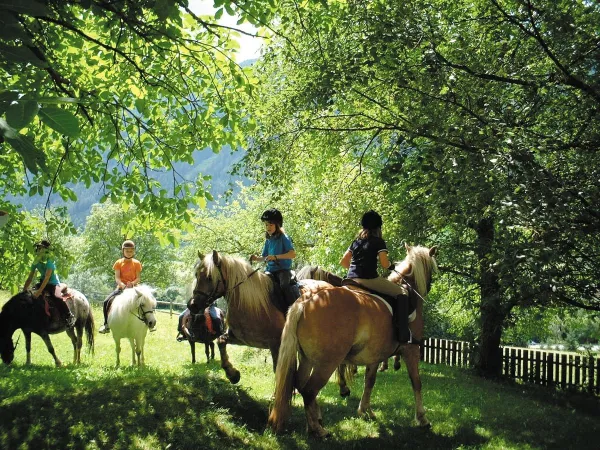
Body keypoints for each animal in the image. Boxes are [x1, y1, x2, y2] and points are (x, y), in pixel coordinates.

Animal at [191, 250, 332, 384]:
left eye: (209, 277)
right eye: (196, 275)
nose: (192, 305)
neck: (251, 305)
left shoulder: (276, 345)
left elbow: (278, 371)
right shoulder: (239, 338)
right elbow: (220, 341)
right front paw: (232, 374)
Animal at [270, 244, 438, 438]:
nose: (429, 287)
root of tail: (306, 300)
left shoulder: (374, 356)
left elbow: (369, 381)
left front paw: (365, 410)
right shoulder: (411, 350)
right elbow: (416, 382)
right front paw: (422, 418)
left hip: (307, 359)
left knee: (300, 385)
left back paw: (312, 425)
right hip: (326, 363)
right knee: (309, 391)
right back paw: (318, 429)